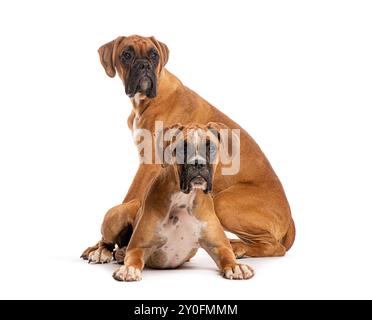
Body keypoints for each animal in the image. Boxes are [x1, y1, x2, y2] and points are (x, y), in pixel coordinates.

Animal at [112, 122, 254, 280]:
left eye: (211, 148)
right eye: (182, 149)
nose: (198, 163)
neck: (183, 199)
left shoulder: (219, 246)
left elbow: (228, 256)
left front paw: (236, 266)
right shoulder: (139, 247)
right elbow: (134, 259)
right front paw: (129, 269)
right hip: (117, 215)